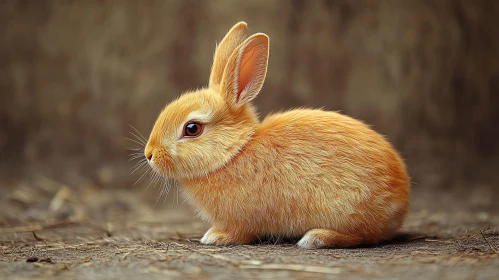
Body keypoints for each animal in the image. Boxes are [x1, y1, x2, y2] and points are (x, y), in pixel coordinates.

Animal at [144, 22, 410, 249]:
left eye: (192, 129)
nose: (149, 154)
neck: (234, 152)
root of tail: (401, 200)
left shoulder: (243, 220)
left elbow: (240, 233)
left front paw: (215, 237)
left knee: (363, 236)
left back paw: (316, 238)